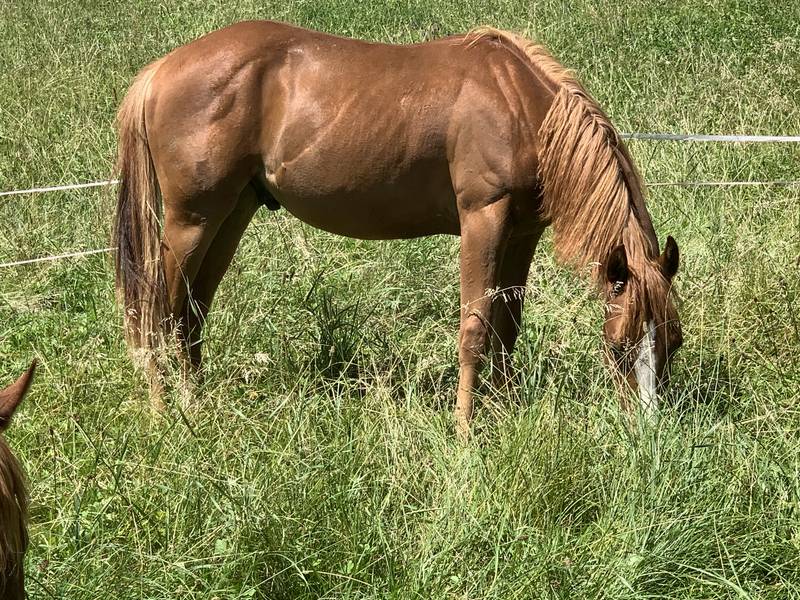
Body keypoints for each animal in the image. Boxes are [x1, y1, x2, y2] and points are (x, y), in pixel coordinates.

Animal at [113, 21, 682, 434]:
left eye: (673, 342)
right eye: (620, 346)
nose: (648, 432)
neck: (521, 108)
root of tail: (160, 70)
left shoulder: (522, 233)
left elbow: (508, 325)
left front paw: (503, 412)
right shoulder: (484, 218)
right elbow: (475, 327)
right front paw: (465, 431)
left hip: (232, 214)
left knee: (190, 310)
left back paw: (196, 404)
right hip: (190, 221)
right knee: (155, 309)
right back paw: (165, 413)